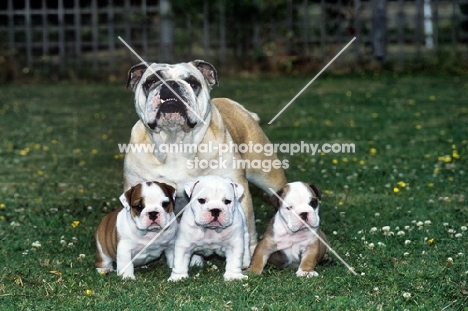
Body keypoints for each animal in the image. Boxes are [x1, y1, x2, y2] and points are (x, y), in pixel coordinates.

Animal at [122, 61, 288, 254]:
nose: (171, 85)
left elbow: (246, 226)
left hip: (268, 175)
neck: (175, 142)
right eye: (150, 82)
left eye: (192, 83)